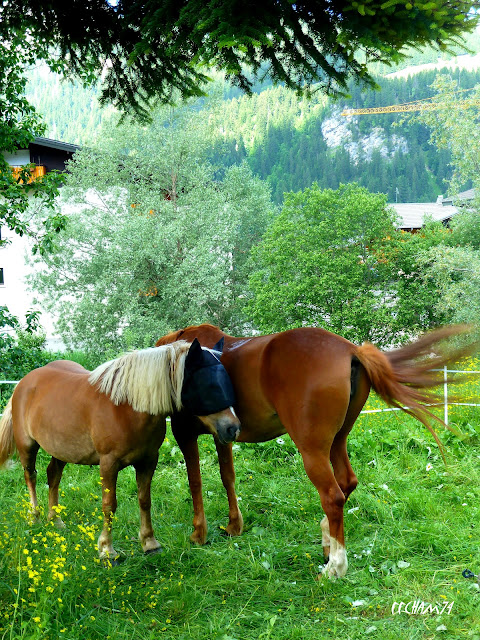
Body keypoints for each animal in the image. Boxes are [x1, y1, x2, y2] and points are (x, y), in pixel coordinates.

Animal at [0, 338, 240, 561]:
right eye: (209, 385)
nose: (233, 428)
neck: (127, 407)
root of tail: (24, 383)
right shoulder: (108, 464)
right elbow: (109, 505)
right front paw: (107, 550)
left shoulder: (148, 460)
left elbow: (144, 500)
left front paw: (150, 543)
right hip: (27, 446)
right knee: (31, 476)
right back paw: (35, 517)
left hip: (61, 449)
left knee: (53, 475)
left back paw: (56, 520)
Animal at [156, 323, 473, 578]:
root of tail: (351, 350)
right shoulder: (223, 434)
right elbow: (227, 477)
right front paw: (234, 526)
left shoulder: (185, 434)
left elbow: (195, 482)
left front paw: (199, 533)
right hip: (337, 442)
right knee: (347, 483)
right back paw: (327, 541)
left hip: (312, 451)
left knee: (332, 496)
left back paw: (335, 567)